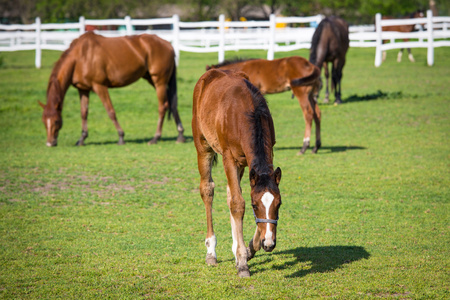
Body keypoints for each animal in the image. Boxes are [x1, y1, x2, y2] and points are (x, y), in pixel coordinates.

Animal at [39, 31, 185, 146]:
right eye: (43, 121)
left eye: (56, 121)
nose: (50, 143)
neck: (81, 57)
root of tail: (168, 45)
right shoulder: (83, 89)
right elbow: (83, 113)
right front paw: (82, 139)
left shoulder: (100, 86)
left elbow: (110, 111)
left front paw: (121, 136)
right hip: (154, 81)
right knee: (172, 104)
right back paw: (180, 135)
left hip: (159, 82)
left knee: (163, 107)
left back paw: (155, 137)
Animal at [192, 69, 284, 278]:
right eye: (255, 206)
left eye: (279, 204)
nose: (270, 243)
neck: (248, 111)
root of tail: (210, 73)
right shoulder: (229, 157)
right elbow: (238, 204)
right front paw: (242, 263)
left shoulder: (261, 156)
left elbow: (238, 199)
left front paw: (249, 250)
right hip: (203, 147)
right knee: (207, 190)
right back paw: (211, 252)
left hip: (241, 164)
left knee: (229, 194)